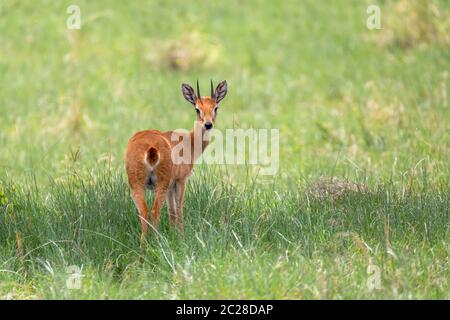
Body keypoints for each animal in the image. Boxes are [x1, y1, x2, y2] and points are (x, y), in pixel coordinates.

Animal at [125, 80, 227, 245]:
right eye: (197, 108)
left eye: (215, 107)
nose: (208, 124)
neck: (189, 143)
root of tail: (150, 149)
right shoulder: (180, 180)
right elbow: (178, 208)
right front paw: (181, 236)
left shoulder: (171, 185)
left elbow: (171, 210)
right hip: (160, 184)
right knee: (155, 211)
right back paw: (156, 242)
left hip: (136, 185)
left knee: (144, 212)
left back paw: (143, 246)